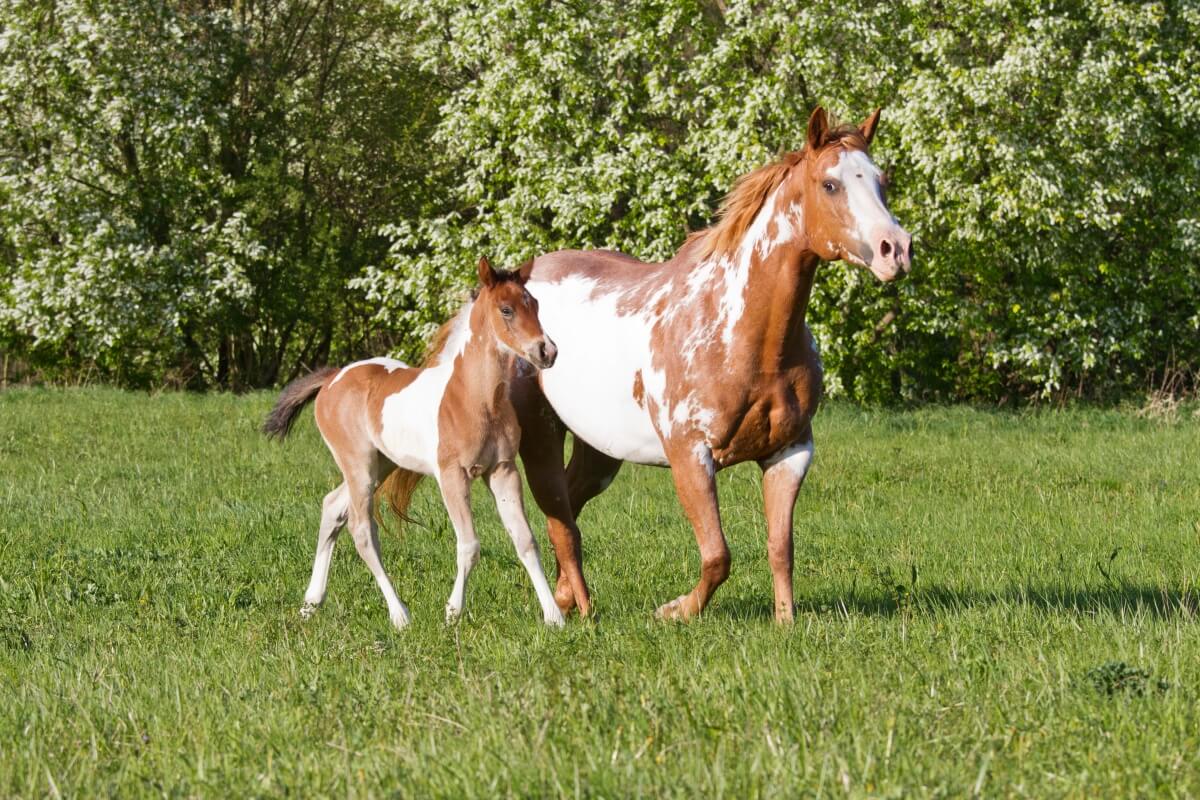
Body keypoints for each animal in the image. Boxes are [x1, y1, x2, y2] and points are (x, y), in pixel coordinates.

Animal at [262, 260, 561, 628]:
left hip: (382, 463)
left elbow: (525, 540)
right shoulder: (452, 476)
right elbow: (469, 545)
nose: (547, 351)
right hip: (359, 466)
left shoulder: (503, 471)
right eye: (506, 309)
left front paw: (554, 616)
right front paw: (452, 613)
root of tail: (333, 378)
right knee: (362, 531)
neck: (475, 398)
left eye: (535, 305)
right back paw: (399, 615)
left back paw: (311, 604)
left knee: (332, 507)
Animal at [511, 106, 912, 623]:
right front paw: (675, 610)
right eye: (830, 184)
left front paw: (786, 622)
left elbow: (780, 548)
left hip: (599, 450)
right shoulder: (691, 457)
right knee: (559, 516)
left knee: (568, 509)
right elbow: (718, 556)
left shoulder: (790, 453)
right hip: (542, 436)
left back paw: (564, 597)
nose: (895, 249)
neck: (748, 339)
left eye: (882, 181)